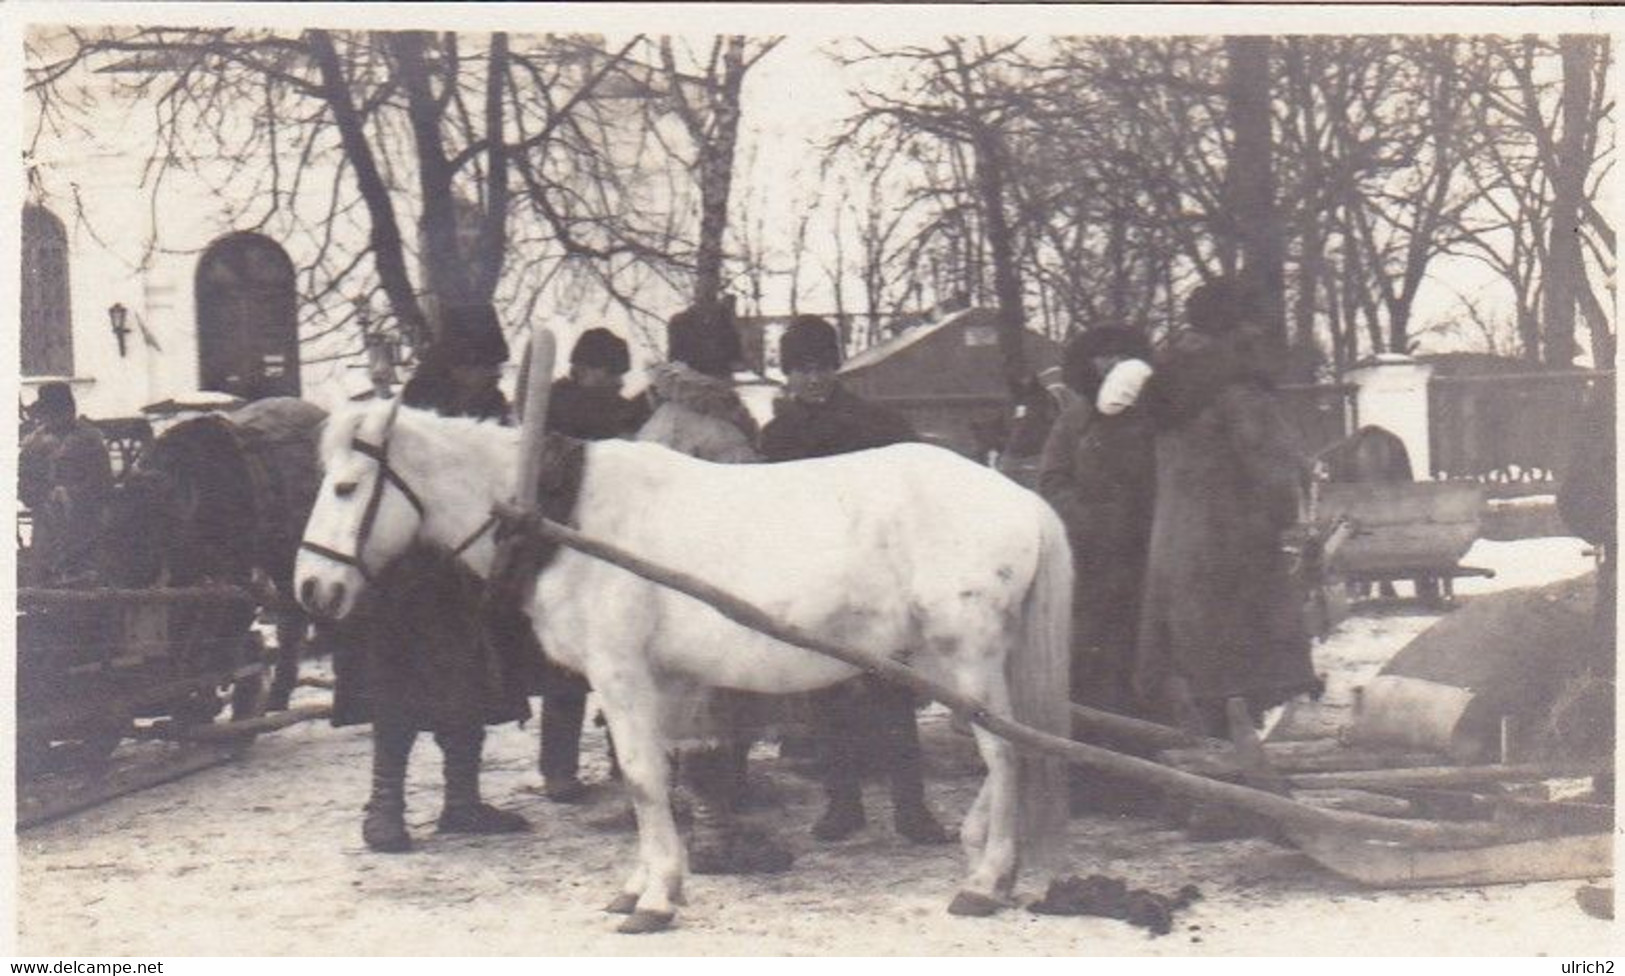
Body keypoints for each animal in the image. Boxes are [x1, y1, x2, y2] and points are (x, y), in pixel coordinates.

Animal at [297, 399, 1072, 935]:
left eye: (345, 488)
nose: (310, 590)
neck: (567, 520)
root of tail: (1020, 496)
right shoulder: (658, 684)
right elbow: (659, 783)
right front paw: (645, 883)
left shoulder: (620, 676)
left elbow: (642, 782)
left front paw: (656, 899)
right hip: (946, 661)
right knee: (1014, 752)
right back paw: (983, 852)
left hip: (966, 654)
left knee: (1006, 754)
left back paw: (986, 880)